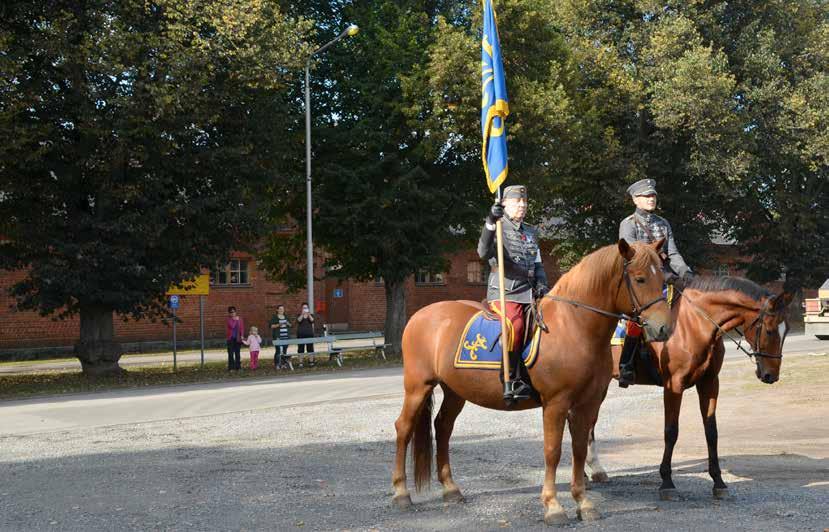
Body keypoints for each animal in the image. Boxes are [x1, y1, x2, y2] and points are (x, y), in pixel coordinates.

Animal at [392, 240, 672, 524]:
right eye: (639, 278)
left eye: (663, 277)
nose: (664, 328)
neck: (574, 326)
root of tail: (419, 316)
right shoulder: (556, 403)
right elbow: (552, 450)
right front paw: (553, 506)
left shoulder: (588, 403)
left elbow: (579, 449)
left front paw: (583, 502)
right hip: (417, 387)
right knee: (404, 428)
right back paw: (401, 493)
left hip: (455, 391)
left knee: (443, 427)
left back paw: (450, 489)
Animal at [584, 276, 788, 500]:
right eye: (769, 330)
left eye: (785, 331)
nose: (771, 375)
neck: (694, 325)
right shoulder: (673, 385)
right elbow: (671, 431)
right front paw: (667, 482)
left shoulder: (710, 383)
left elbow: (711, 432)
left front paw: (718, 481)